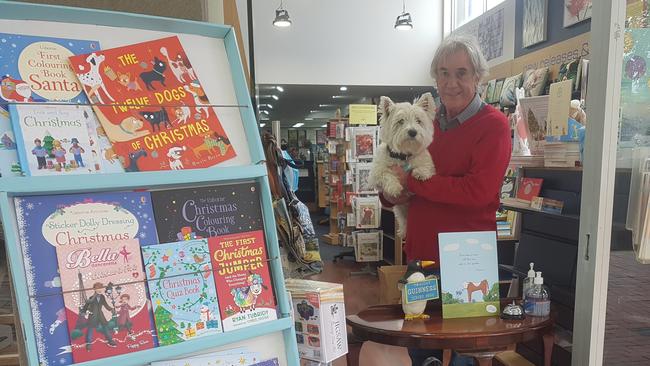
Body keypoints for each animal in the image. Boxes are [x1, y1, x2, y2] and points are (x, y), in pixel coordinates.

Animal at [370, 91, 436, 234]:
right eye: (400, 121)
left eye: (418, 121)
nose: (412, 132)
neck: (403, 155)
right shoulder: (375, 175)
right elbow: (385, 174)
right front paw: (394, 187)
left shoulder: (426, 161)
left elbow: (425, 167)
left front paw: (420, 173)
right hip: (399, 209)